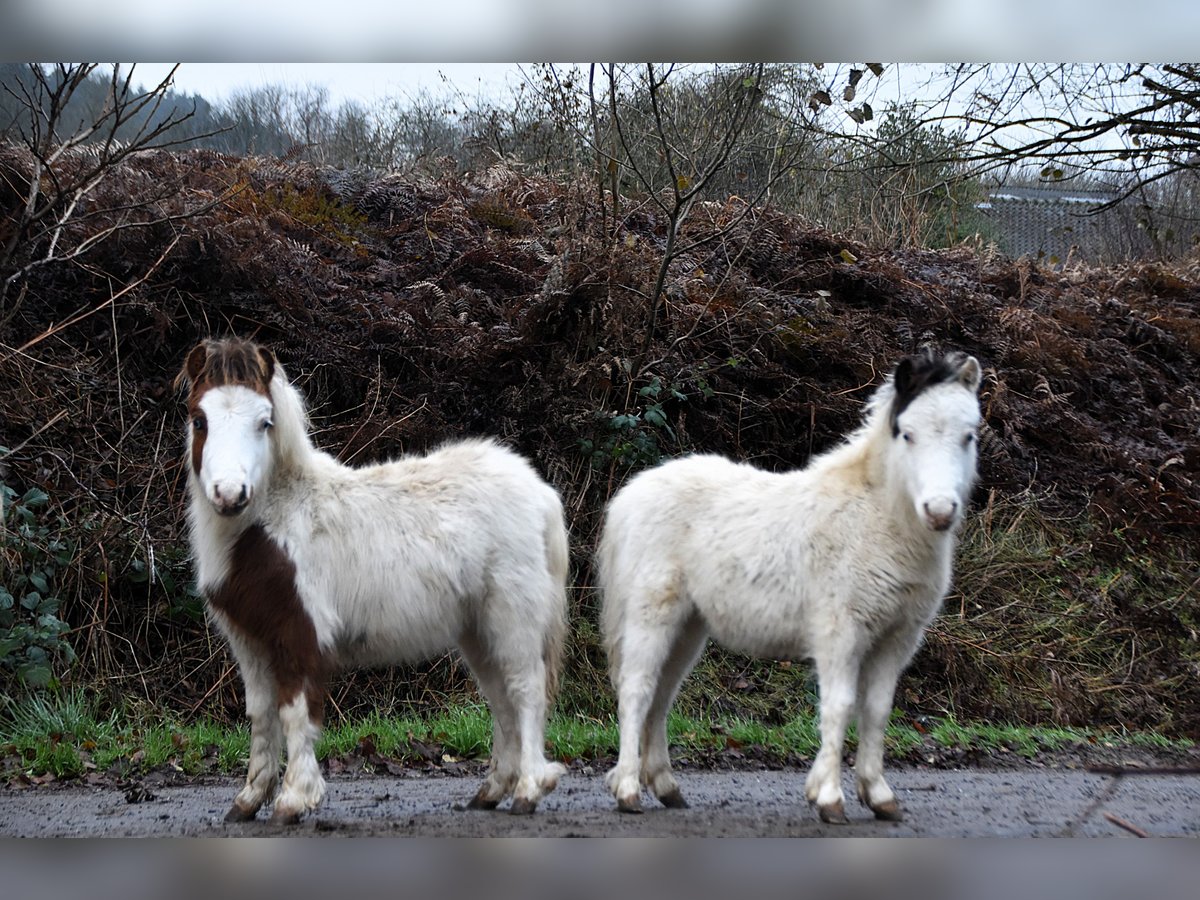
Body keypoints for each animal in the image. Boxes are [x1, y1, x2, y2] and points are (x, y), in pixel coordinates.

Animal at [178, 338, 571, 825]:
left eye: (264, 422)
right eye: (199, 419)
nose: (230, 494)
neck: (274, 522)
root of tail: (540, 493)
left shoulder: (299, 633)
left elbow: (295, 713)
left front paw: (294, 799)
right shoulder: (249, 641)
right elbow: (261, 715)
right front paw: (248, 800)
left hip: (513, 618)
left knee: (526, 692)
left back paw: (529, 790)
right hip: (478, 631)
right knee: (501, 700)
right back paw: (491, 791)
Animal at [600, 350, 984, 825]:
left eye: (969, 435)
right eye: (908, 434)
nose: (940, 510)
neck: (876, 520)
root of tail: (631, 494)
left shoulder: (897, 637)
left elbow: (876, 711)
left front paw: (878, 796)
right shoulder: (841, 631)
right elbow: (839, 706)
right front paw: (830, 798)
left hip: (688, 627)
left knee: (661, 696)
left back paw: (667, 788)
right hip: (652, 614)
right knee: (637, 691)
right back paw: (628, 790)